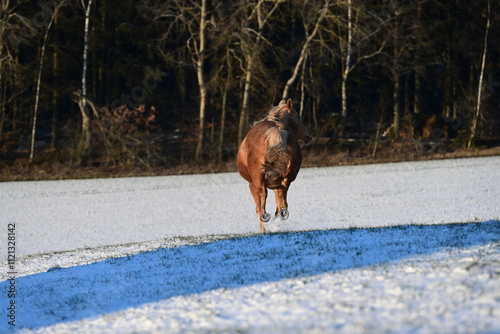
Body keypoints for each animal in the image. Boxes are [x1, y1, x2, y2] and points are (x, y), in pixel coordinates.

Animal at [235, 98, 312, 232]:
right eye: (298, 116)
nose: (308, 136)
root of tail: (276, 130)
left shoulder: (252, 185)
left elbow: (259, 207)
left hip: (259, 181)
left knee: (262, 205)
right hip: (286, 179)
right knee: (282, 203)